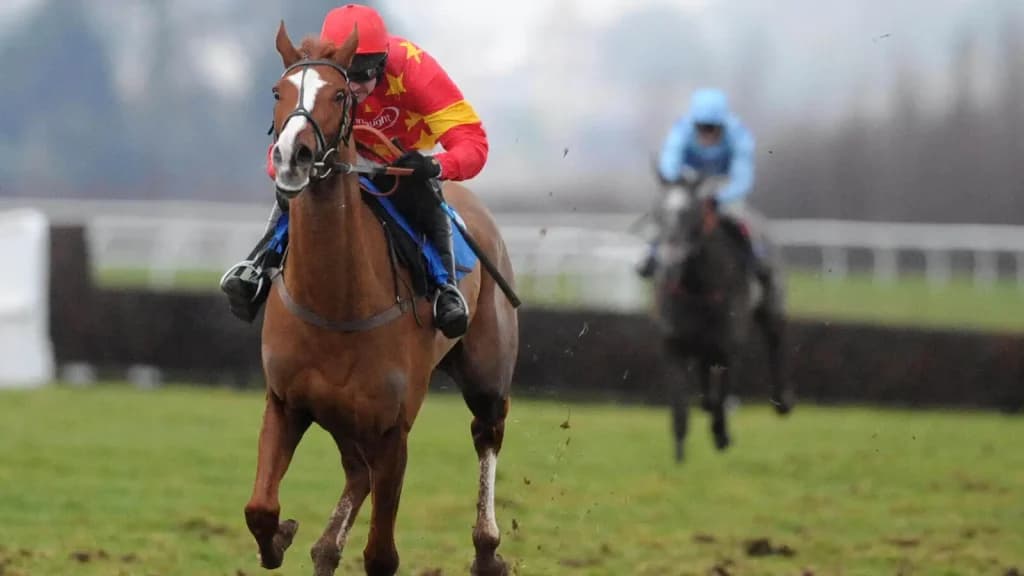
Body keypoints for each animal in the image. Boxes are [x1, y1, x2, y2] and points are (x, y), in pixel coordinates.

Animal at [242, 23, 518, 576]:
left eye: (339, 94)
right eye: (278, 92)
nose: (291, 156)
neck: (336, 303)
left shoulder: (394, 431)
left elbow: (381, 555)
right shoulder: (285, 402)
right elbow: (260, 508)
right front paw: (280, 536)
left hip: (487, 371)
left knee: (487, 432)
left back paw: (486, 548)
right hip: (345, 420)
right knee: (356, 474)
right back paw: (325, 546)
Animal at [648, 174, 792, 462]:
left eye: (692, 214)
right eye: (660, 214)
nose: (669, 262)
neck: (697, 286)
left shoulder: (729, 343)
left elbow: (724, 392)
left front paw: (722, 436)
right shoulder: (673, 344)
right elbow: (679, 409)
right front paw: (679, 456)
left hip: (771, 300)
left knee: (774, 341)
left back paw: (782, 401)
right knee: (705, 370)